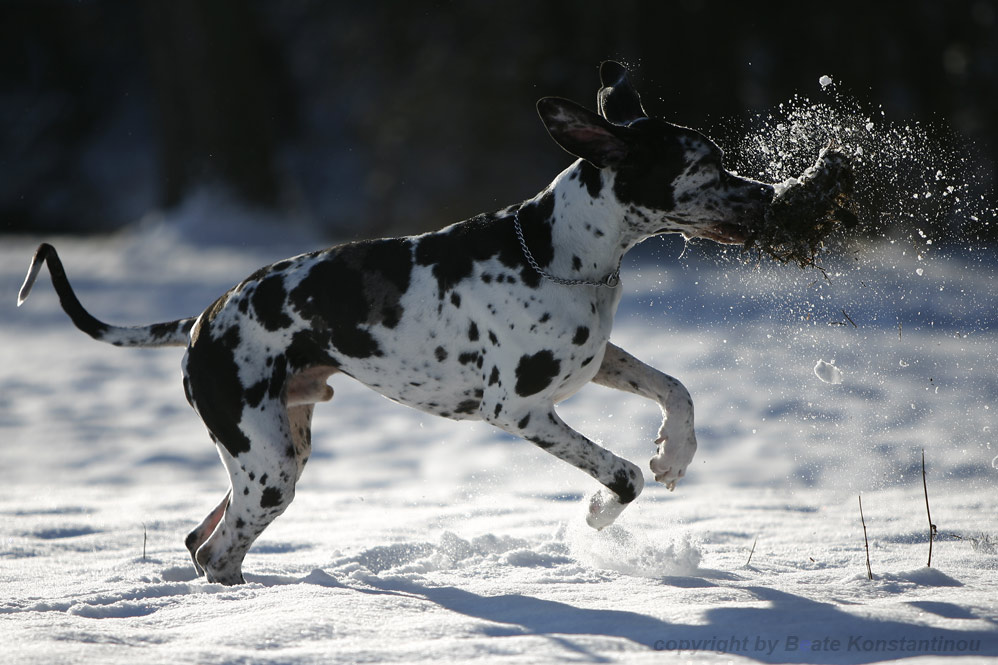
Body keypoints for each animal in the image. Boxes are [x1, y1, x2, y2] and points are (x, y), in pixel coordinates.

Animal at [19, 61, 776, 580]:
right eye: (706, 164)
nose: (768, 195)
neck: (559, 250)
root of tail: (205, 317)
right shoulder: (519, 409)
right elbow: (621, 475)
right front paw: (594, 513)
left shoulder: (594, 363)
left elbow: (676, 387)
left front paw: (675, 452)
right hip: (267, 464)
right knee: (217, 550)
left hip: (276, 453)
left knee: (201, 541)